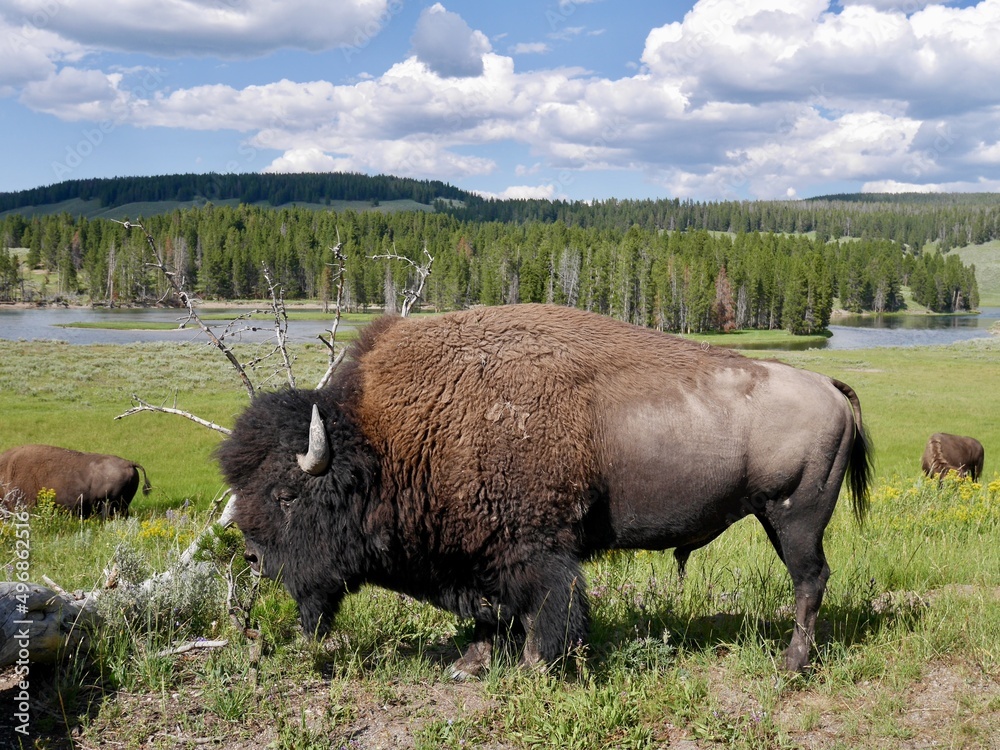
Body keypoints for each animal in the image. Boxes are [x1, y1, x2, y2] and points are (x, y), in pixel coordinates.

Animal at [215, 302, 872, 680]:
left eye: (288, 495)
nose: (253, 557)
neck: (389, 442)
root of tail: (829, 386)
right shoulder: (476, 555)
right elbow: (488, 614)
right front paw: (471, 665)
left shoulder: (533, 551)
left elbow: (547, 609)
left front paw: (535, 667)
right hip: (780, 519)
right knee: (811, 581)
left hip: (795, 518)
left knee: (809, 581)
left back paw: (791, 666)